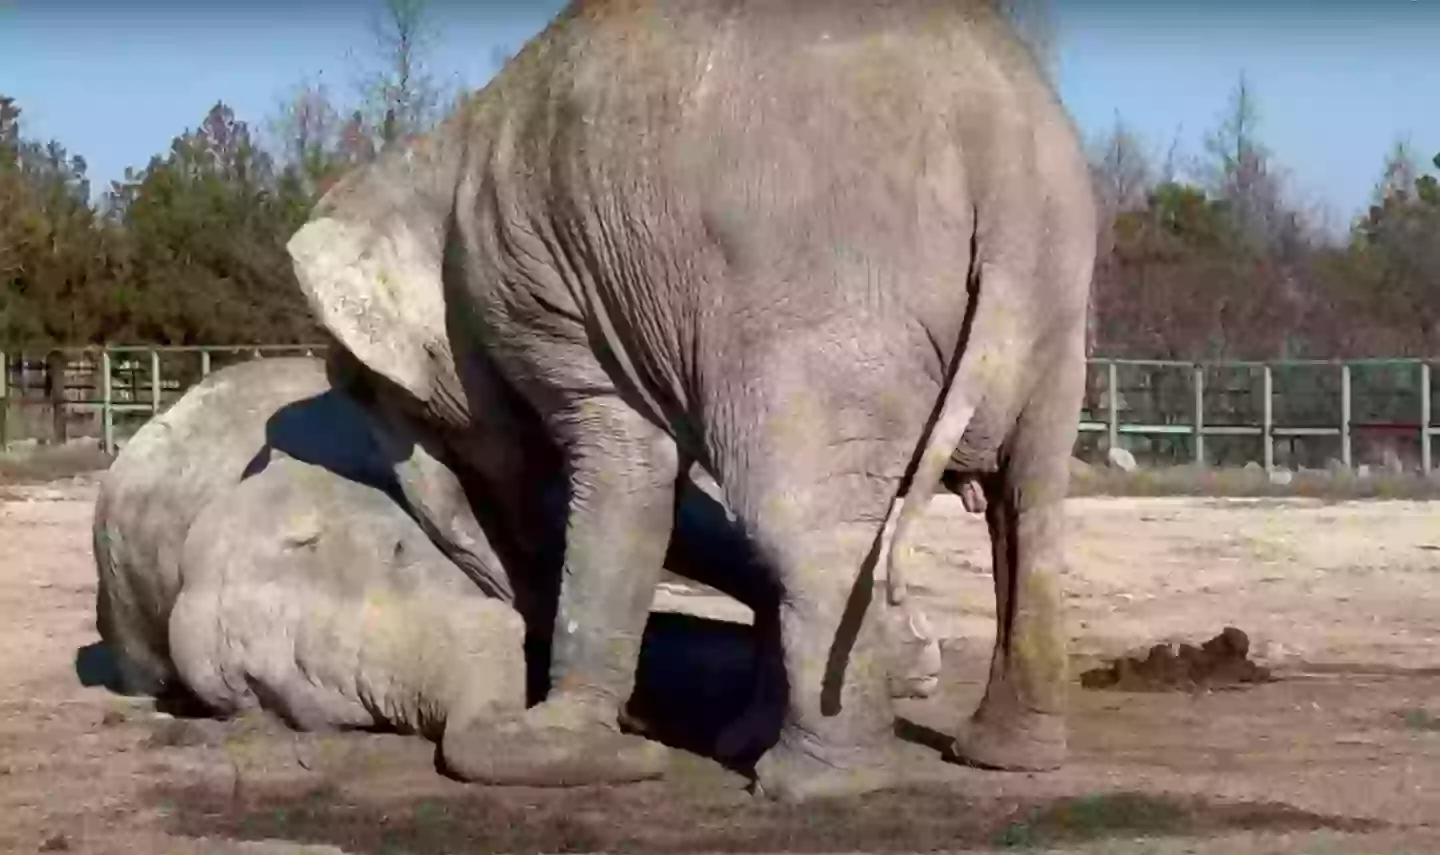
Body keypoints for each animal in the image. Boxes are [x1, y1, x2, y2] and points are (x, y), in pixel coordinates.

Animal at [287, 0, 1096, 801]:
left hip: (816, 291)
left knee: (798, 517)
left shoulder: (542, 295)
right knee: (1025, 503)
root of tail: (999, 148)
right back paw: (999, 756)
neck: (434, 149)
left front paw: (569, 744)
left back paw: (811, 783)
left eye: (365, 390)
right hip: (1056, 296)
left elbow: (621, 472)